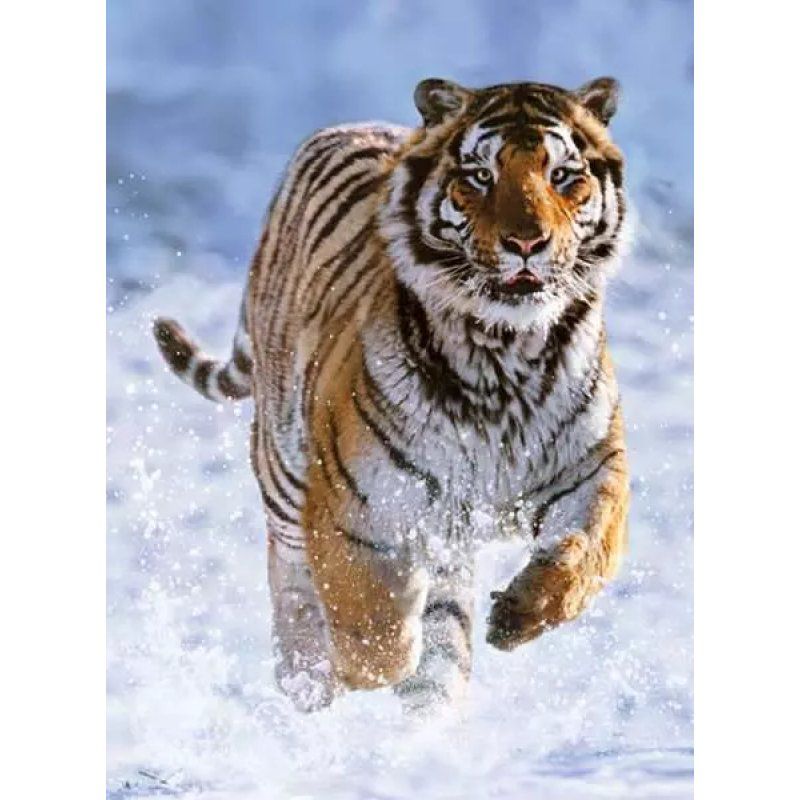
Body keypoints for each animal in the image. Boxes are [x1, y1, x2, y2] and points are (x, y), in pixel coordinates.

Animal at [153, 77, 630, 713]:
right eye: (480, 176)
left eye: (561, 176)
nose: (527, 242)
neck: (504, 354)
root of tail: (344, 126)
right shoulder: (354, 507)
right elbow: (375, 637)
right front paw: (349, 667)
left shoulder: (593, 468)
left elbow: (587, 552)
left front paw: (519, 615)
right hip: (284, 471)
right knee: (290, 577)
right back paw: (307, 679)